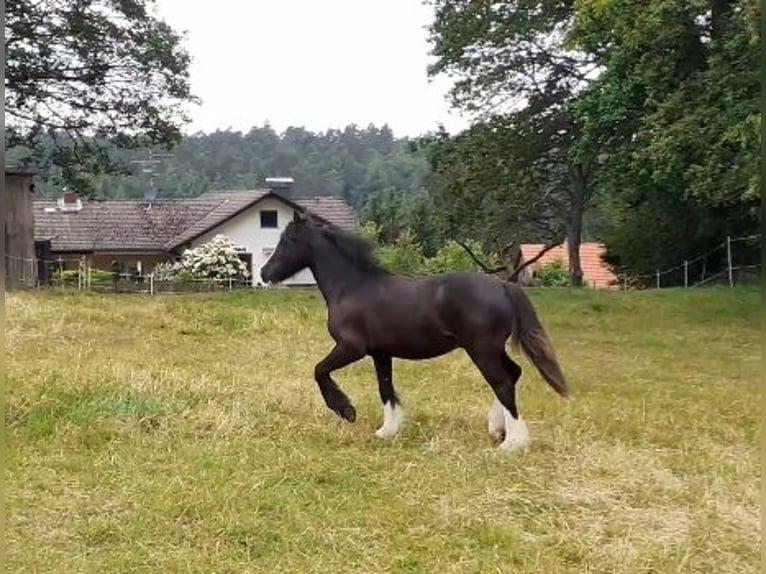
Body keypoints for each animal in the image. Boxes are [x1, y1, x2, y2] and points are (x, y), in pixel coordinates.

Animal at [264, 213, 568, 454]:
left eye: (287, 241)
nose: (266, 273)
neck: (351, 287)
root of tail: (503, 285)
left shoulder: (351, 347)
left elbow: (319, 370)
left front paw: (346, 410)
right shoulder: (380, 353)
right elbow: (385, 388)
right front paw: (386, 431)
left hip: (482, 349)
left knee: (502, 383)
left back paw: (511, 443)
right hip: (493, 348)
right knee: (513, 374)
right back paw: (497, 430)